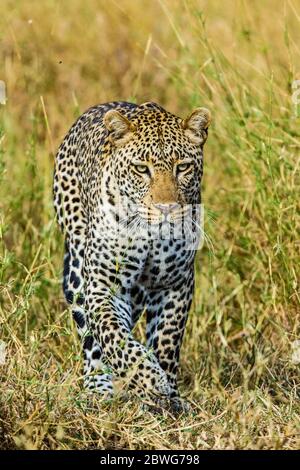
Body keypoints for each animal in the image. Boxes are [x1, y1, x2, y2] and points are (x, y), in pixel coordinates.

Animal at [52, 101, 210, 414]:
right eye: (141, 169)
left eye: (183, 167)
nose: (166, 208)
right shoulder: (104, 286)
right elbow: (115, 337)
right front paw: (149, 380)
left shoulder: (176, 284)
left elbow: (167, 338)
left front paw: (168, 396)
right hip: (77, 271)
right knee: (91, 338)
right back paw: (98, 387)